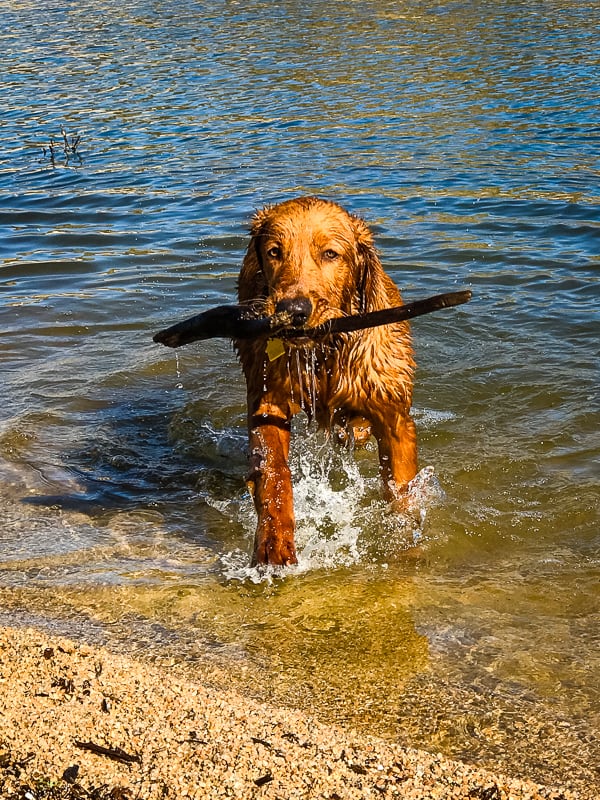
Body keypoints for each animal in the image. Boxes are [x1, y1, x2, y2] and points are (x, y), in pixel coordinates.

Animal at [234, 197, 418, 564]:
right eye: (275, 252)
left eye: (331, 254)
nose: (293, 310)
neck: (324, 351)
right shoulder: (268, 400)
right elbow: (275, 473)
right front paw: (274, 542)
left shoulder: (393, 416)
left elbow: (402, 491)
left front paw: (405, 543)